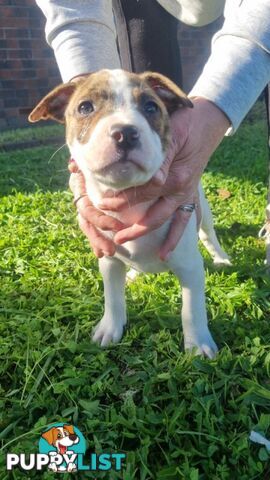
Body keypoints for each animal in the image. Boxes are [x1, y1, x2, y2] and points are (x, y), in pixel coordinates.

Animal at [30, 69, 232, 358]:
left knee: (209, 235)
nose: (124, 132)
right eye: (85, 107)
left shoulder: (190, 266)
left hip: (202, 208)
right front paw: (110, 328)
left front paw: (198, 346)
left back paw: (221, 258)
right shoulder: (109, 259)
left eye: (150, 107)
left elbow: (191, 310)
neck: (130, 201)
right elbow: (113, 297)